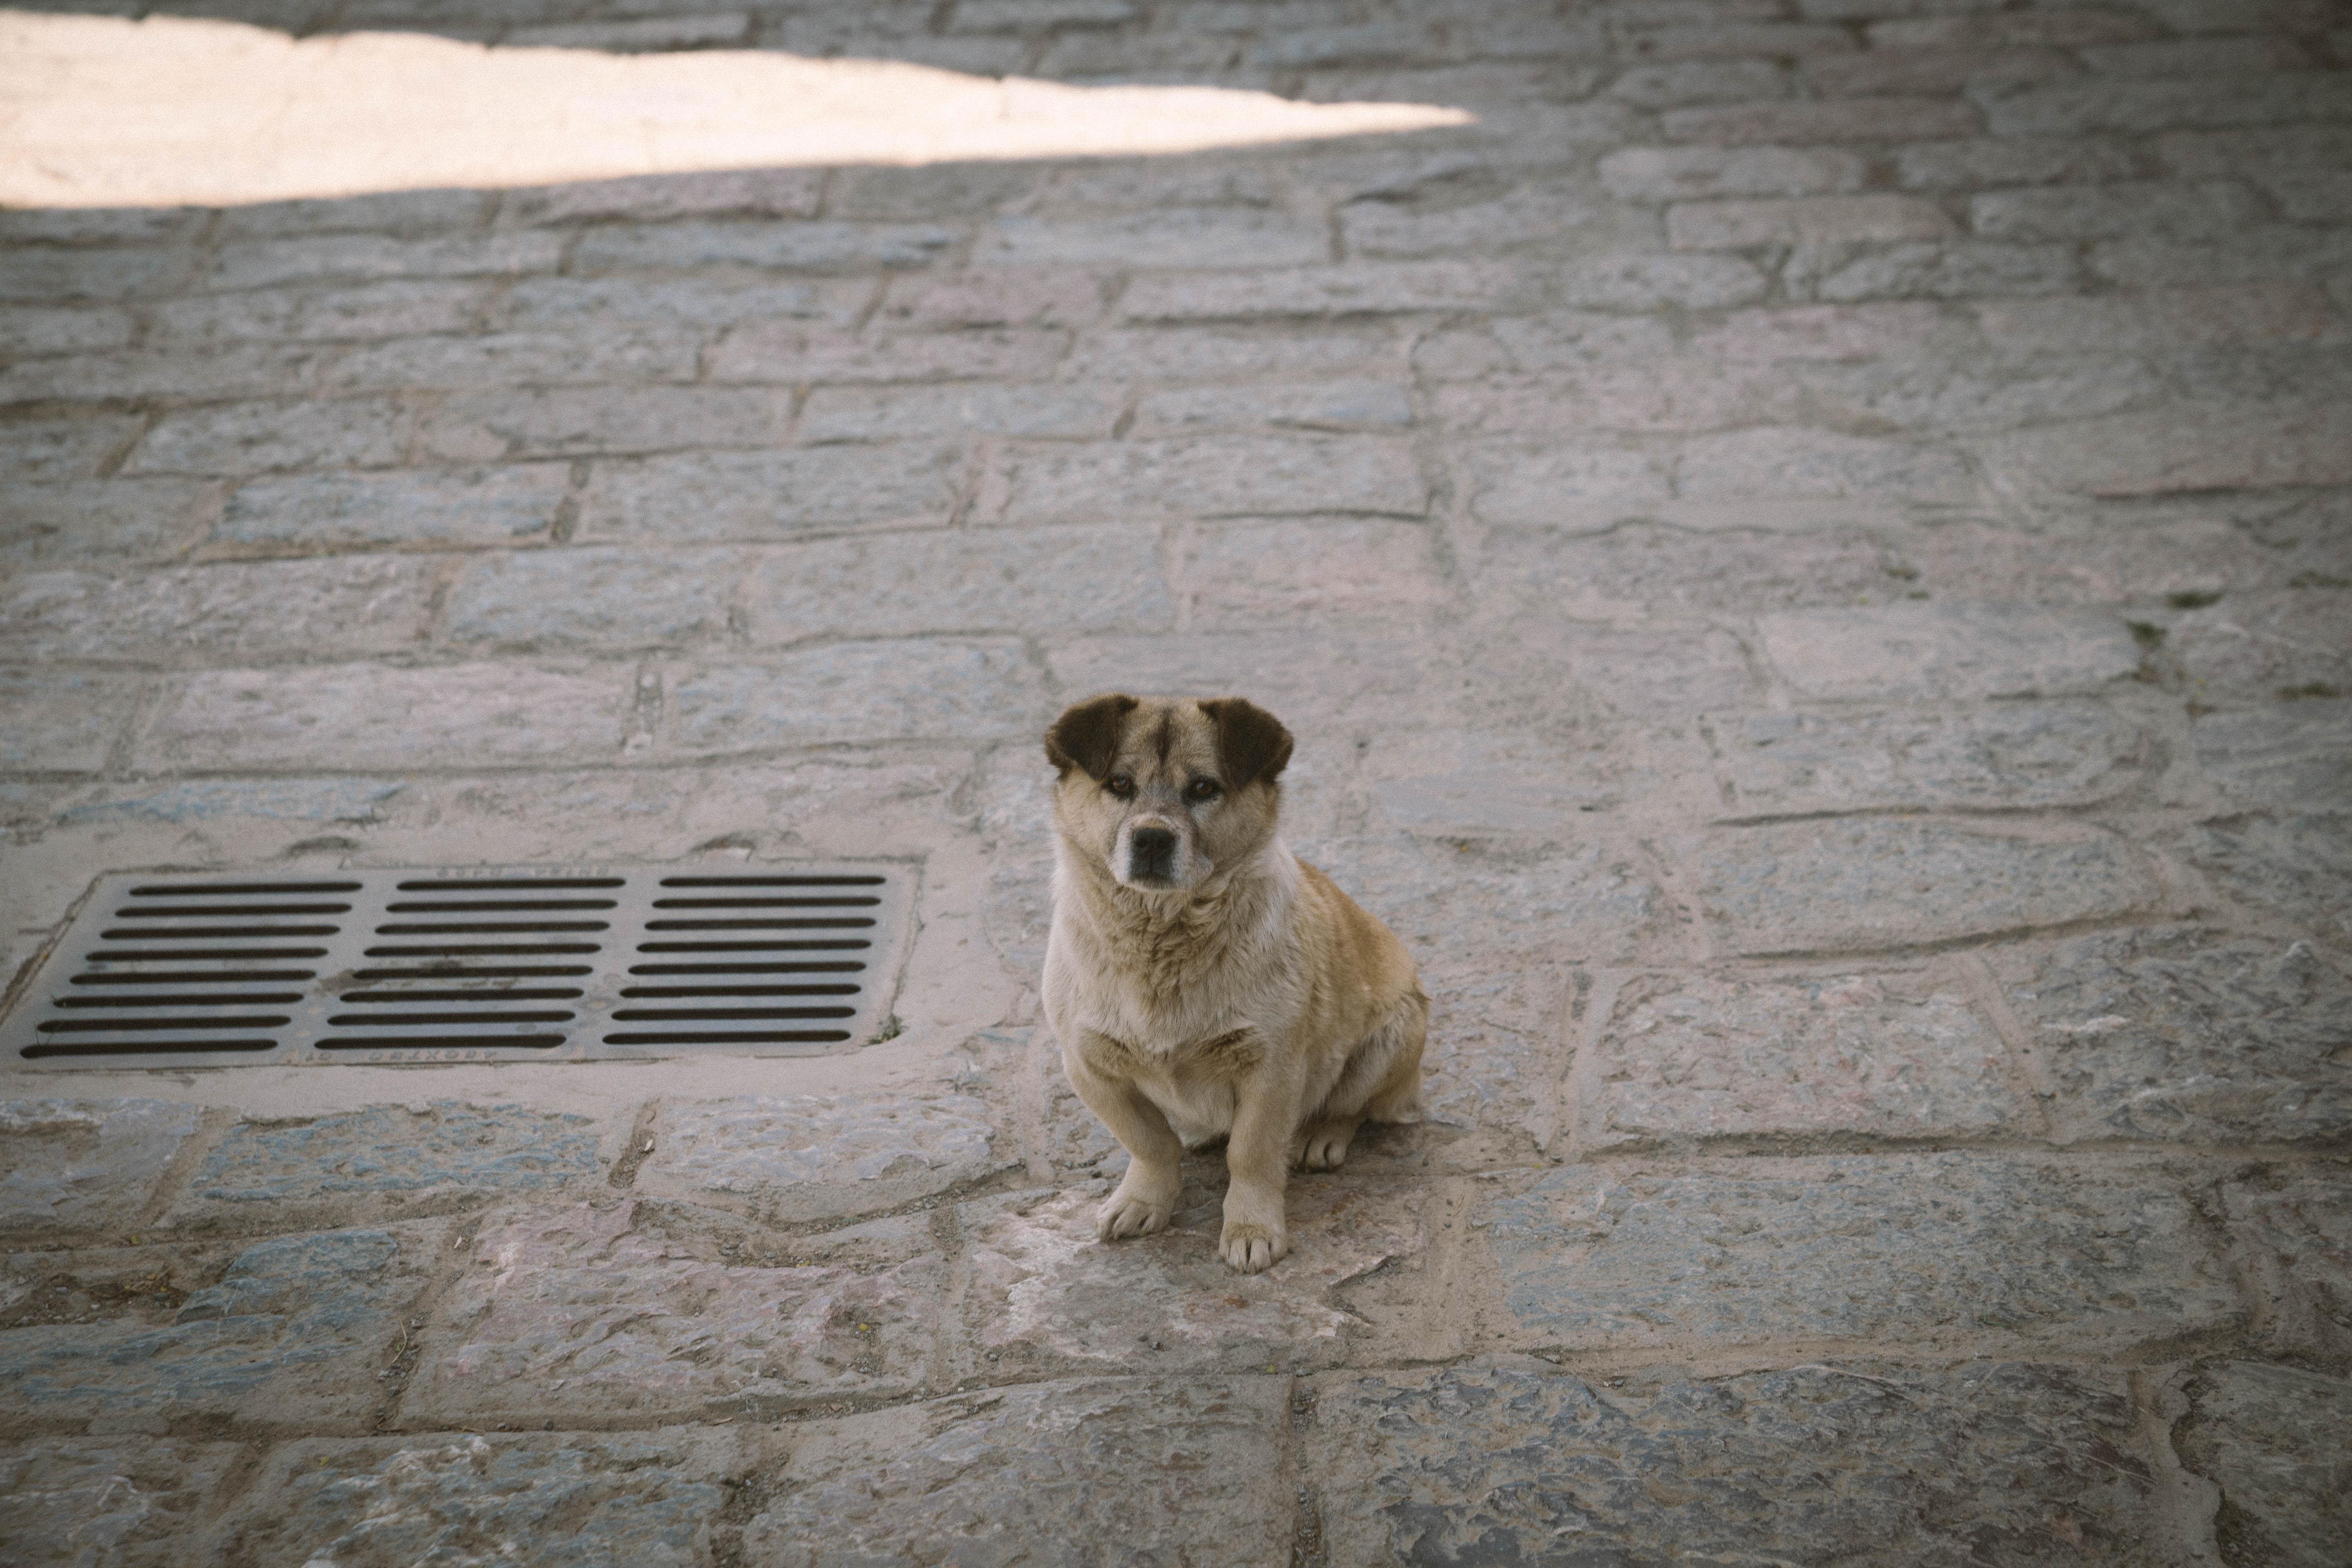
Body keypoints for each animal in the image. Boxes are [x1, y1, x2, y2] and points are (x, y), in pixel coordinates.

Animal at [1049, 701, 1430, 1279]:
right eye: (1119, 784)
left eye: (1204, 788)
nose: (1153, 838)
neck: (1160, 942)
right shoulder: (1089, 1065)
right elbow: (1150, 1142)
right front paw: (1143, 1201)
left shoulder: (1270, 1069)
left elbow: (1250, 1154)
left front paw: (1251, 1230)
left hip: (1395, 1034)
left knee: (1353, 1106)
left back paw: (1321, 1137)